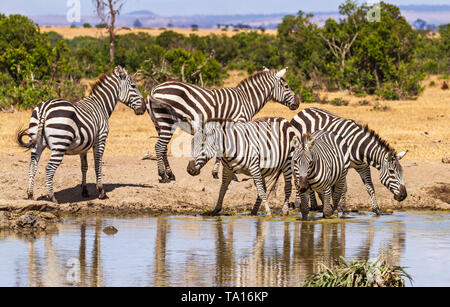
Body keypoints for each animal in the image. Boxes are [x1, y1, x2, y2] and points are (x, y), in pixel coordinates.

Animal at [16, 66, 144, 203]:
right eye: (134, 86)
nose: (144, 108)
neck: (101, 105)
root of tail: (45, 108)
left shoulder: (84, 145)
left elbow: (84, 166)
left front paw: (85, 190)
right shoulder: (101, 139)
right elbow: (98, 164)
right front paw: (101, 191)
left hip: (37, 141)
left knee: (32, 165)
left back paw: (30, 194)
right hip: (60, 143)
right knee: (49, 168)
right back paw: (52, 197)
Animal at [147, 67, 298, 184]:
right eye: (286, 87)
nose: (297, 103)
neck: (247, 100)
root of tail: (154, 89)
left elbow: (221, 151)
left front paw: (216, 173)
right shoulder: (238, 122)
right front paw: (233, 175)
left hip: (158, 123)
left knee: (163, 148)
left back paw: (170, 175)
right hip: (167, 121)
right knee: (159, 147)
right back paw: (163, 176)